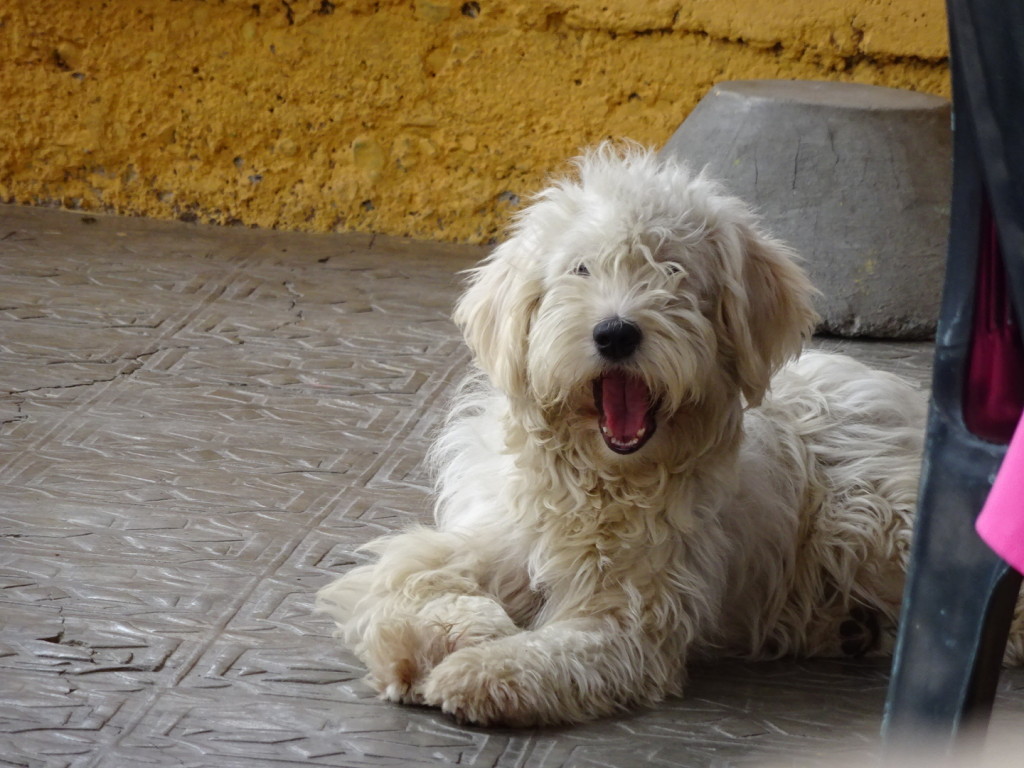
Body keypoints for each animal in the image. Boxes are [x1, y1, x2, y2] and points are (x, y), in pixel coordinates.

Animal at [317, 144, 929, 729]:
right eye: (580, 269)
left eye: (673, 269)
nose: (615, 334)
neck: (599, 481)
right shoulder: (478, 541)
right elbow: (402, 581)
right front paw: (447, 639)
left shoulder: (633, 617)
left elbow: (559, 654)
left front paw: (482, 671)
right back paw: (852, 628)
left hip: (871, 518)